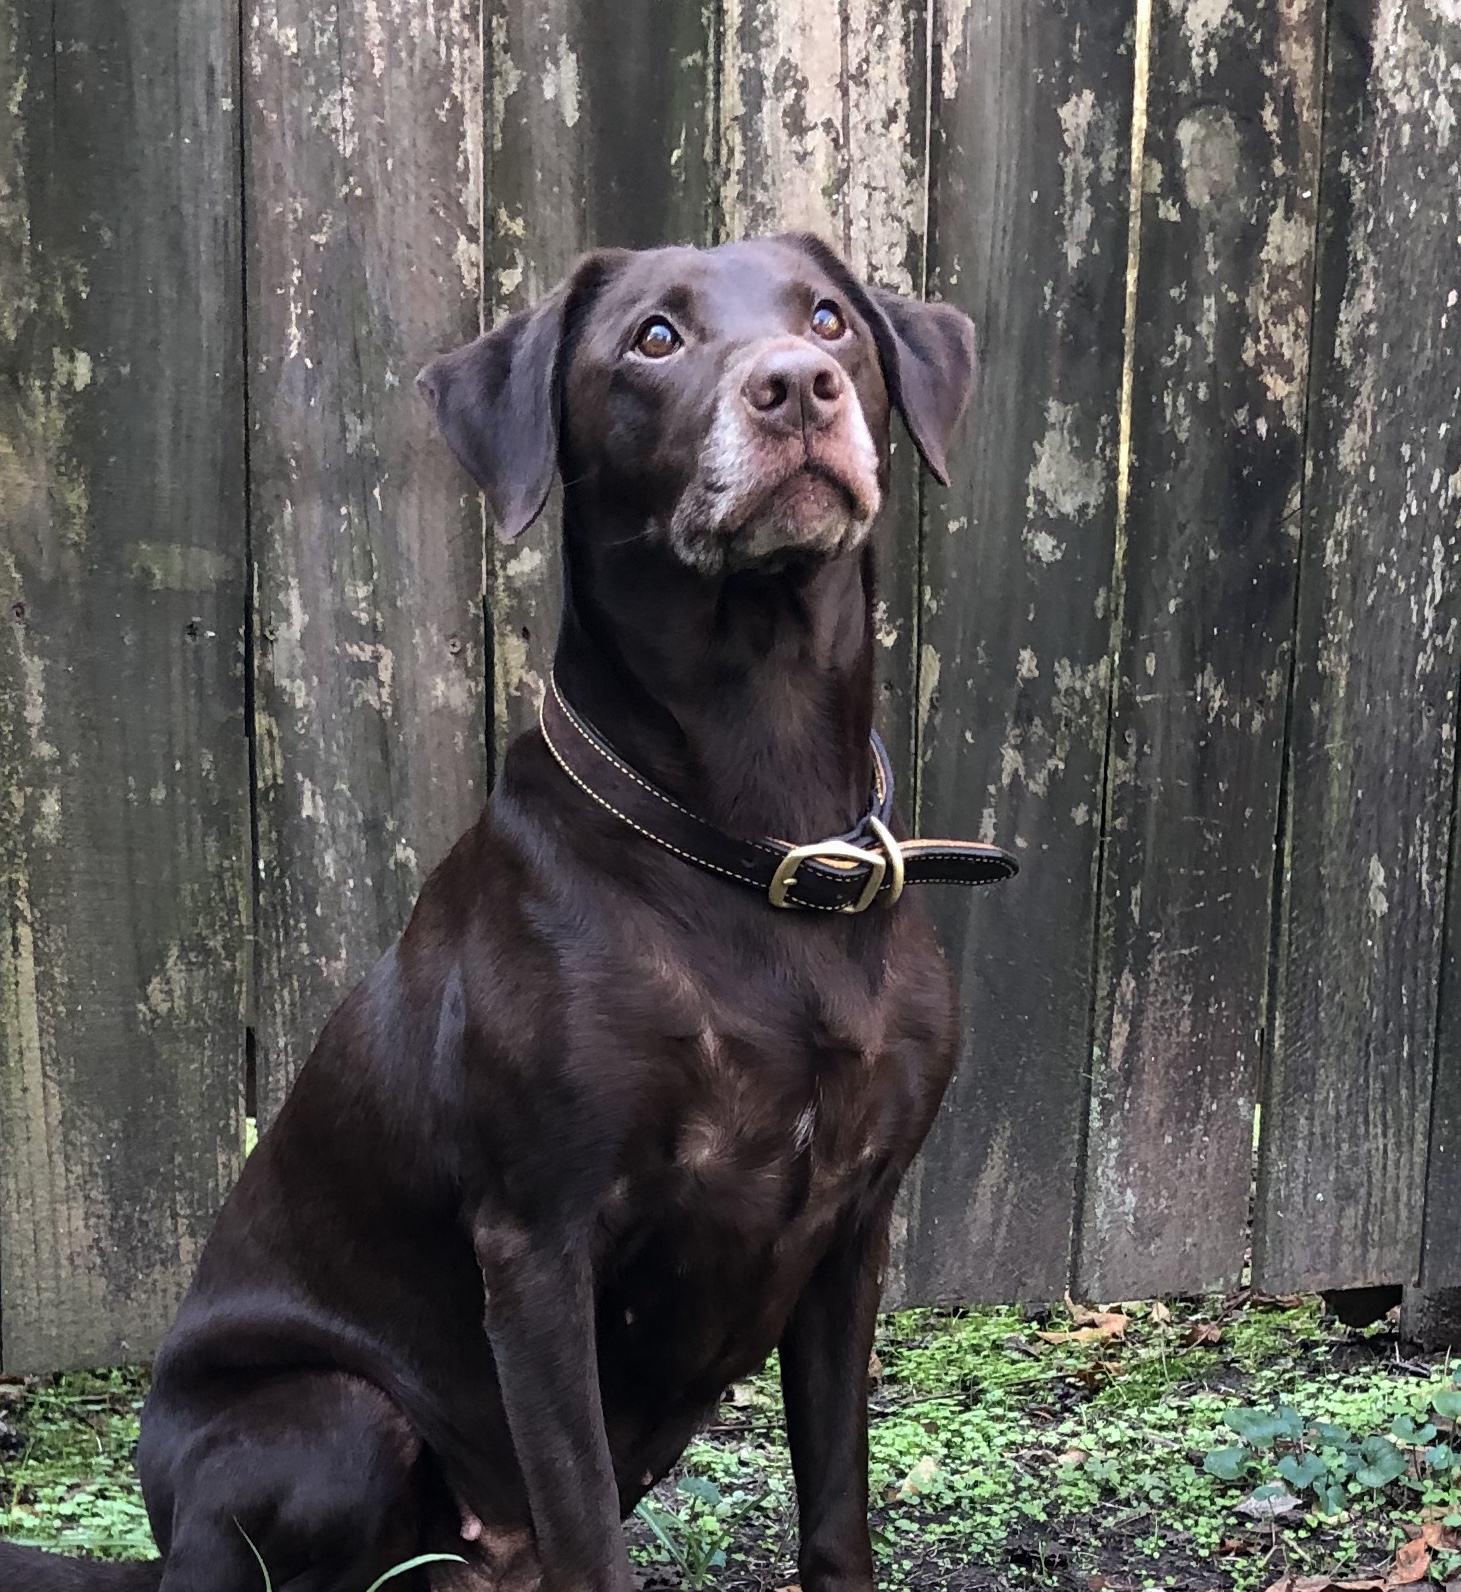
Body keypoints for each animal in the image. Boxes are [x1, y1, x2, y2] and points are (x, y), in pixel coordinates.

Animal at [0, 235, 1012, 1592]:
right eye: (652, 339)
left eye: (831, 319)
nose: (800, 386)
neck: (755, 837)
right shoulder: (537, 1249)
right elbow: (589, 1529)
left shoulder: (852, 1233)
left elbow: (836, 1516)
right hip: (334, 1416)